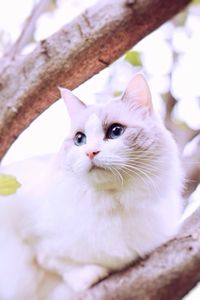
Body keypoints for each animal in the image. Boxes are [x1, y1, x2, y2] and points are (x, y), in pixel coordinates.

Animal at [0, 74, 183, 298]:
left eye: (115, 131)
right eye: (80, 139)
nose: (90, 152)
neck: (111, 204)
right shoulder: (29, 232)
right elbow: (52, 260)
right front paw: (89, 275)